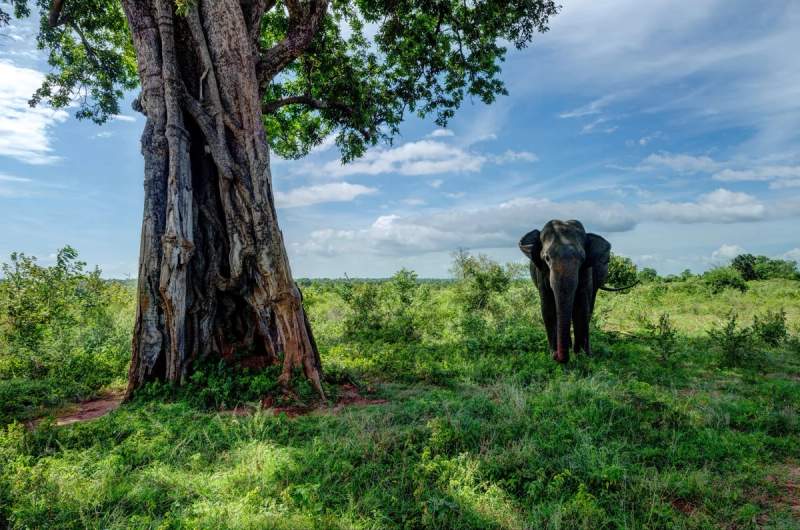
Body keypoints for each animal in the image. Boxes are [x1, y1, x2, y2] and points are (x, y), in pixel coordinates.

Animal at [519, 220, 635, 363]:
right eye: (547, 258)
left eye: (582, 259)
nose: (557, 356)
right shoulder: (541, 272)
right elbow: (548, 308)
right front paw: (554, 354)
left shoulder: (586, 271)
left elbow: (581, 307)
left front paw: (580, 355)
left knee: (590, 306)